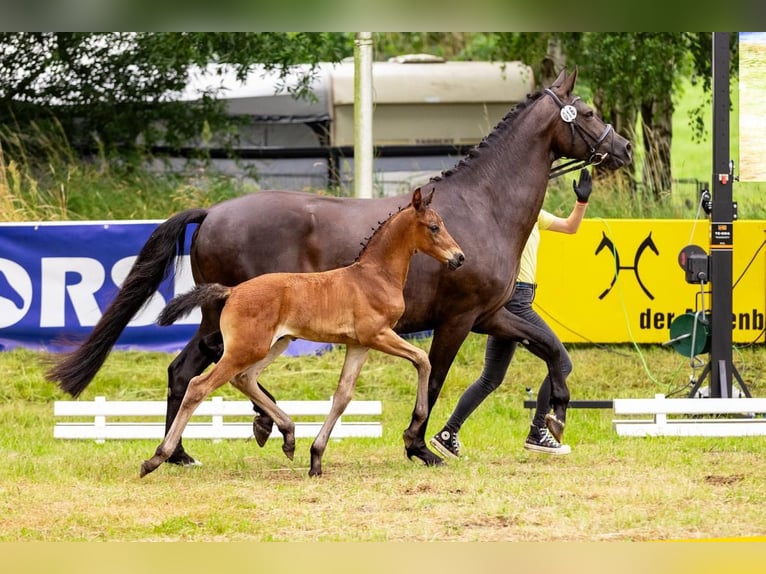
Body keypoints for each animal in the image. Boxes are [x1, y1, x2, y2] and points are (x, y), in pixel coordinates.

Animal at [141, 187, 464, 480]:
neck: (374, 276)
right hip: (248, 348)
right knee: (200, 385)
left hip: (275, 344)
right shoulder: (378, 335)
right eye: (434, 226)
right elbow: (422, 359)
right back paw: (157, 458)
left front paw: (316, 459)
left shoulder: (358, 345)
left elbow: (343, 395)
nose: (459, 258)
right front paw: (414, 429)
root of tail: (231, 291)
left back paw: (288, 436)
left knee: (244, 378)